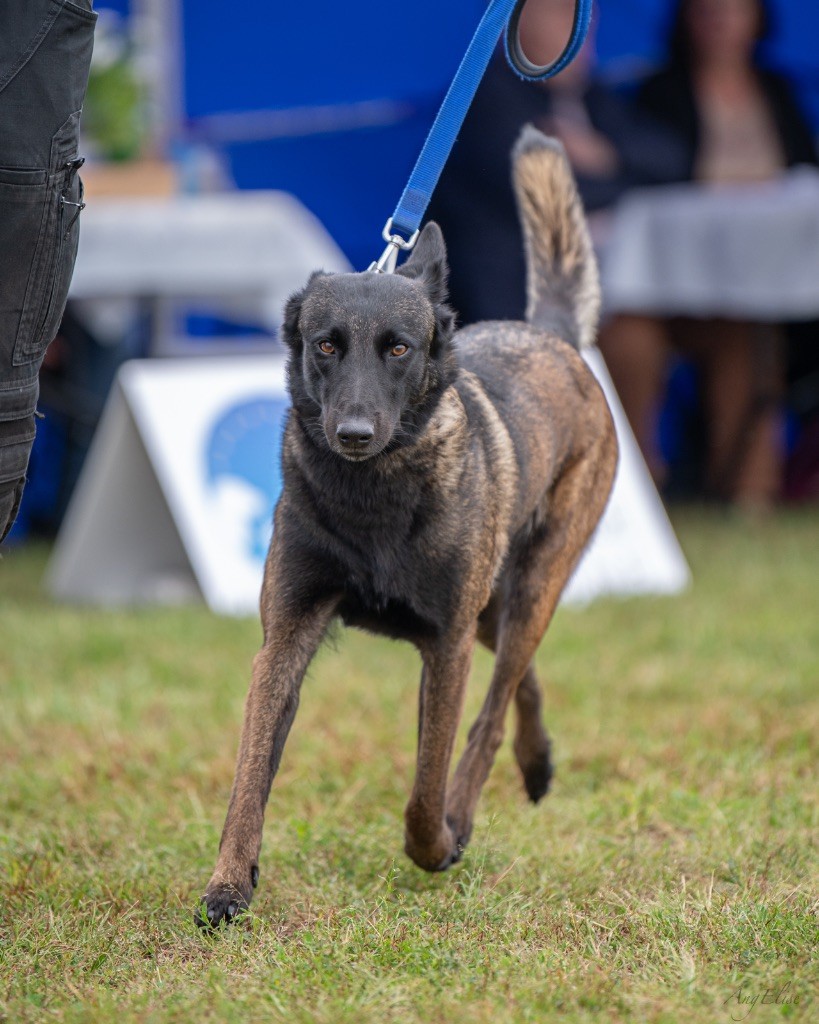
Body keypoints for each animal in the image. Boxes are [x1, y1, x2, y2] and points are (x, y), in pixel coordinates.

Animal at [198, 128, 618, 929]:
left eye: (398, 347)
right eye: (326, 345)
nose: (355, 434)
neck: (372, 498)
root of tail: (550, 337)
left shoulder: (445, 643)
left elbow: (427, 780)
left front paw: (437, 843)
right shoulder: (286, 636)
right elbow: (249, 772)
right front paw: (229, 885)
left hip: (527, 590)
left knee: (493, 707)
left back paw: (476, 803)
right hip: (494, 604)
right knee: (519, 677)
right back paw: (537, 762)